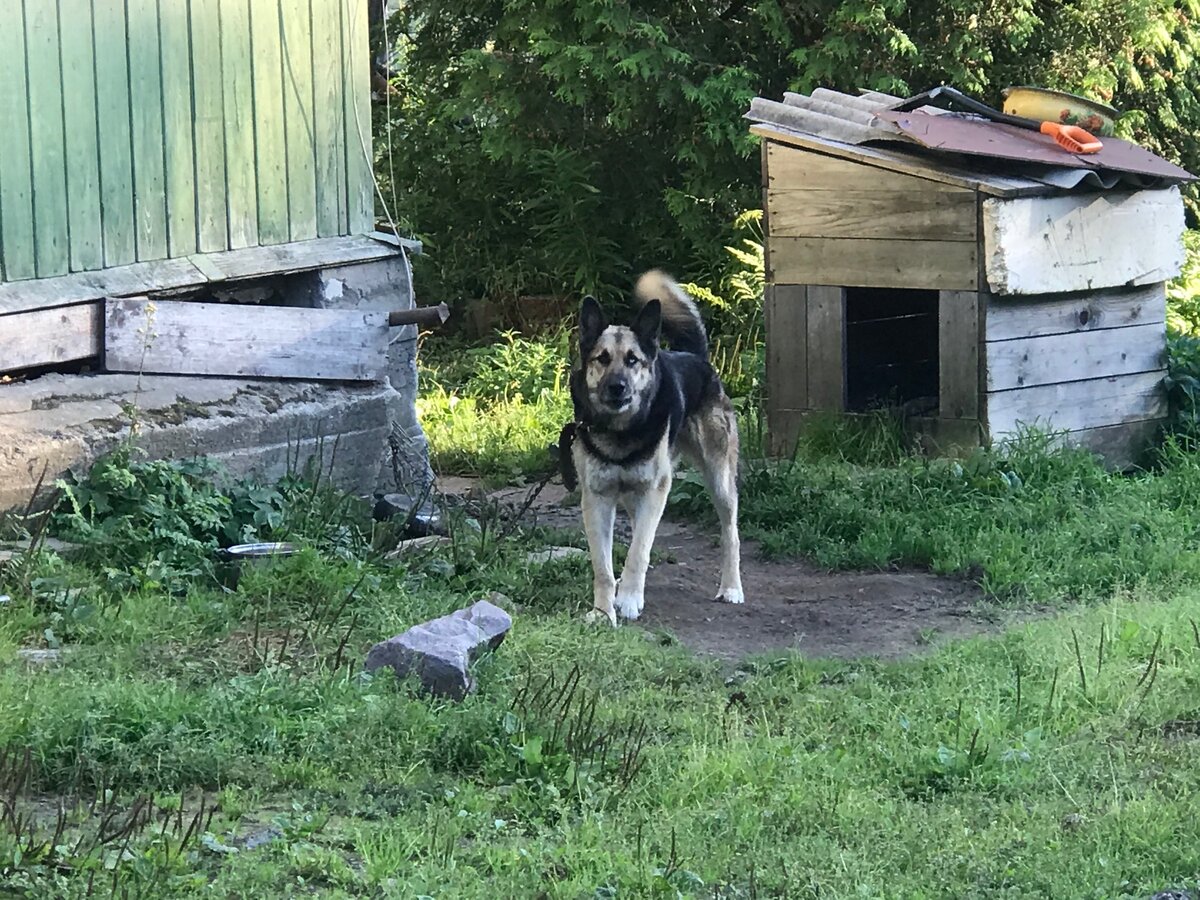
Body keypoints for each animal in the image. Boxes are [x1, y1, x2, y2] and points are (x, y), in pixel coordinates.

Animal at [559, 270, 739, 628]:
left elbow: (638, 551)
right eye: (602, 359)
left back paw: (731, 588)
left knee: (731, 532)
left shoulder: (656, 490)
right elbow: (602, 565)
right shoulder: (596, 498)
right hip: (632, 496)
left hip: (719, 481)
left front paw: (628, 600)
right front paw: (604, 611)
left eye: (633, 361)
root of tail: (696, 357)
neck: (621, 431)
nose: (617, 387)